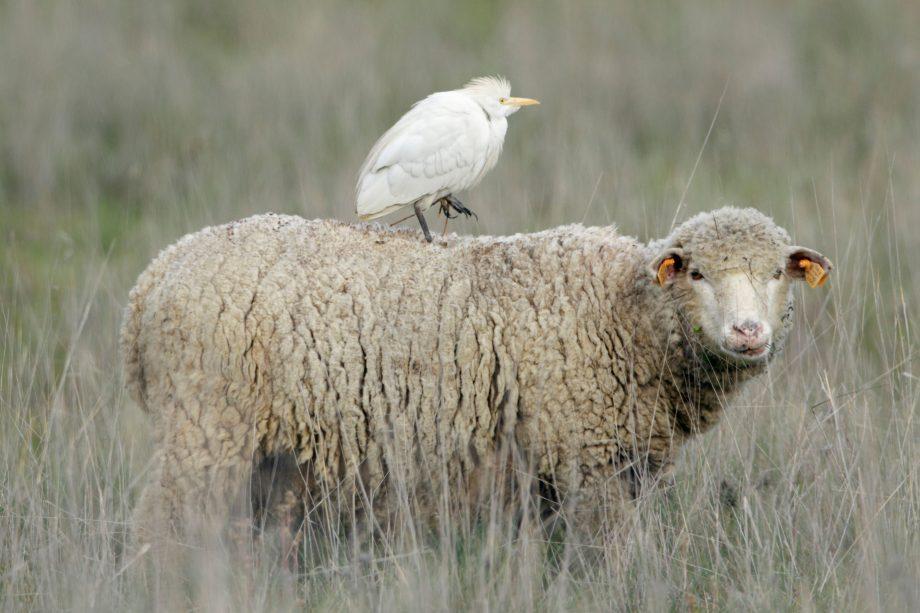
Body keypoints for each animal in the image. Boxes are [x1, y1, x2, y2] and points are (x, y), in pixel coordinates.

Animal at [122, 206, 832, 540]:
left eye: (777, 272)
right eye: (699, 273)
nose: (748, 334)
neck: (624, 313)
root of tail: (153, 278)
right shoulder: (590, 462)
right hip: (205, 427)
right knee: (164, 526)